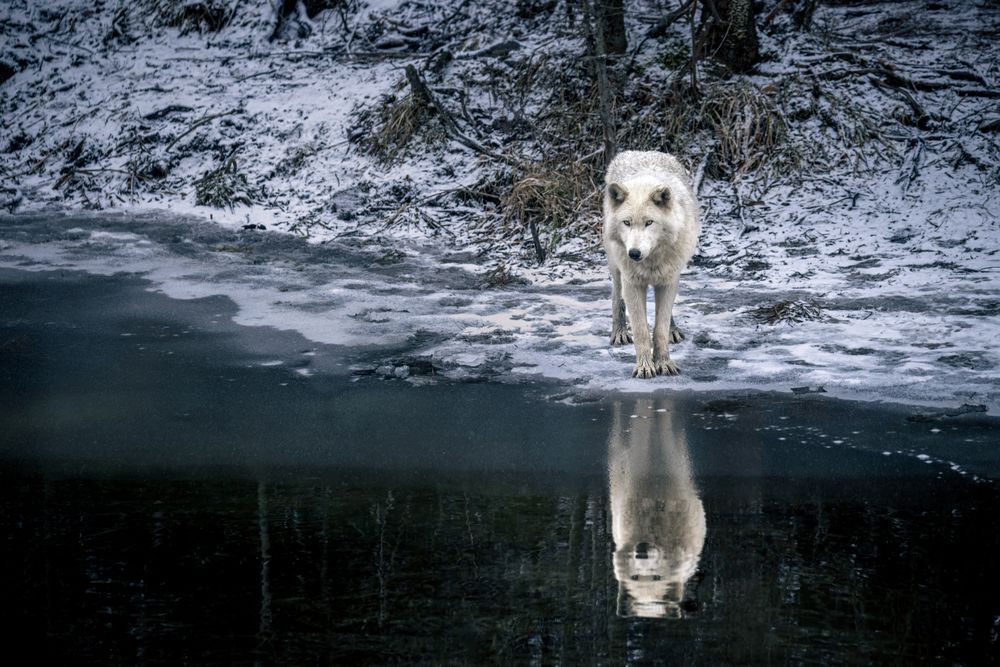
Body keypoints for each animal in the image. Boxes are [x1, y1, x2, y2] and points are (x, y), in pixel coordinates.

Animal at [602, 150, 700, 378]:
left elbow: (659, 329)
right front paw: (645, 366)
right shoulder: (632, 283)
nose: (634, 253)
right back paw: (619, 332)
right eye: (627, 223)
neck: (651, 260)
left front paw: (664, 363)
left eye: (649, 223)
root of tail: (641, 152)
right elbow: (641, 331)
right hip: (617, 269)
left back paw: (673, 330)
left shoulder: (668, 280)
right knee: (616, 297)